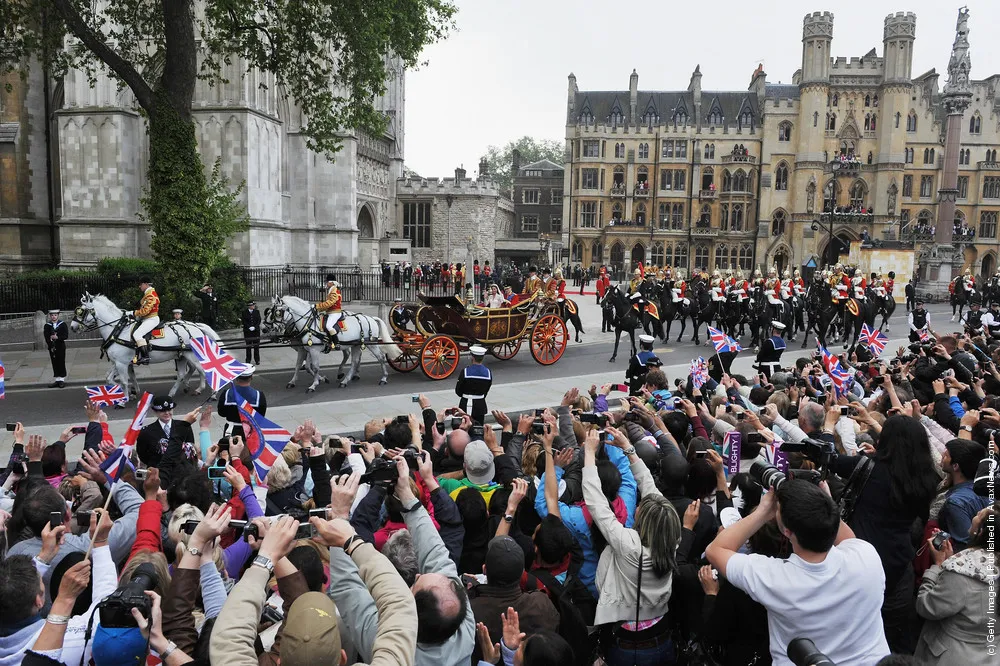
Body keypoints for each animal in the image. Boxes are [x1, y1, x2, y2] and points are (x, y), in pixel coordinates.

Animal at [71, 292, 224, 404]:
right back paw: (173, 393)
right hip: (181, 356)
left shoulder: (121, 363)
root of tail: (196, 326)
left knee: (205, 371)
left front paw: (124, 398)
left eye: (81, 311)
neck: (119, 330)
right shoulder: (120, 362)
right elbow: (110, 378)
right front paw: (129, 392)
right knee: (182, 374)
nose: (72, 327)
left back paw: (211, 393)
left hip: (193, 356)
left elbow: (124, 380)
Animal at [268, 294, 404, 392]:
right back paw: (345, 380)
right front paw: (296, 381)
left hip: (371, 344)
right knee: (355, 361)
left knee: (380, 357)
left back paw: (383, 378)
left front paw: (314, 384)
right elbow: (301, 365)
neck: (309, 323)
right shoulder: (307, 349)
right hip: (356, 344)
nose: (271, 328)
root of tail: (370, 318)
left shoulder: (314, 350)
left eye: (277, 312)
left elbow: (315, 367)